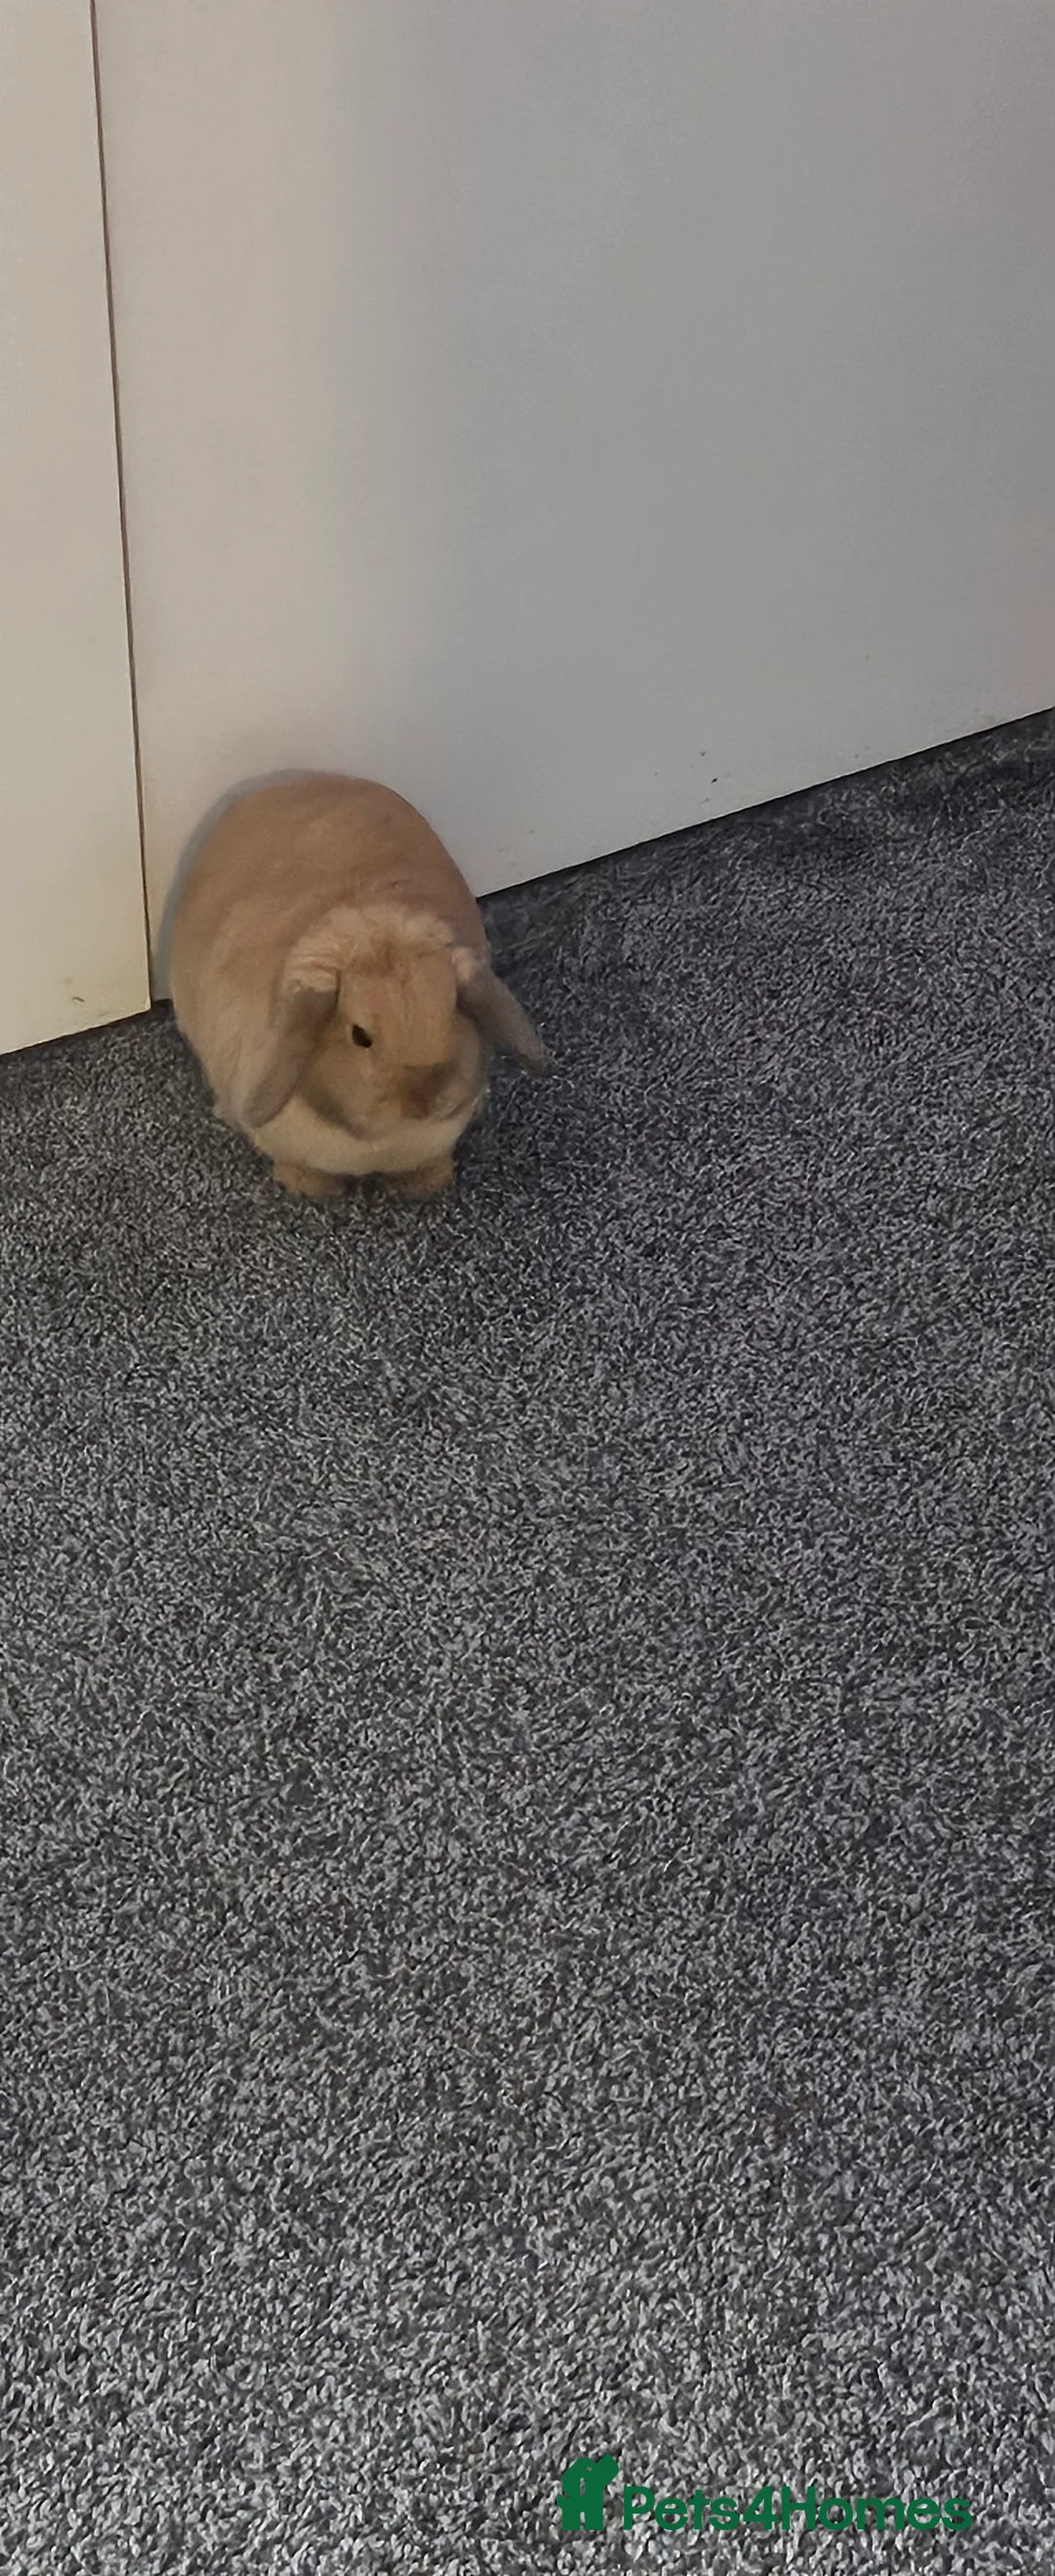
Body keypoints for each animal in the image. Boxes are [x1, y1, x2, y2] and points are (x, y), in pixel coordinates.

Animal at [168, 772, 548, 1199]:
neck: (377, 1145)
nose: (425, 1100)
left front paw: (428, 1182)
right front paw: (308, 1187)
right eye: (360, 1036)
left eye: (453, 1012)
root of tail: (298, 778)